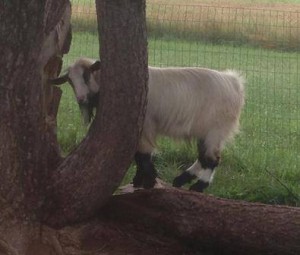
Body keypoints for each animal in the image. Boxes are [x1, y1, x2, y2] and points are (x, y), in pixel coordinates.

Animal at [49, 57, 246, 192]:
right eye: (70, 81)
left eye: (86, 75)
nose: (81, 98)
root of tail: (234, 82)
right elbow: (137, 155)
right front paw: (140, 180)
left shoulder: (146, 126)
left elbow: (144, 155)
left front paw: (148, 181)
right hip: (205, 131)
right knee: (203, 156)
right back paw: (182, 179)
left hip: (216, 129)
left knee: (212, 159)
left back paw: (198, 186)